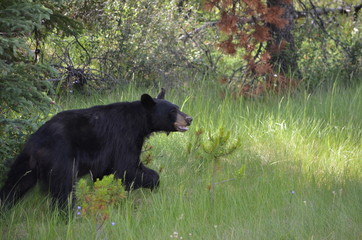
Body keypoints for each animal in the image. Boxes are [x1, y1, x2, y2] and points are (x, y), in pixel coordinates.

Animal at [0, 89, 191, 207]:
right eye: (173, 111)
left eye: (177, 107)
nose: (189, 118)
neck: (140, 121)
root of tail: (37, 141)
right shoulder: (125, 137)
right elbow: (127, 168)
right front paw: (152, 183)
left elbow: (105, 172)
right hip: (61, 155)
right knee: (63, 187)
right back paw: (68, 214)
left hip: (26, 161)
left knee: (16, 183)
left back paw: (5, 206)